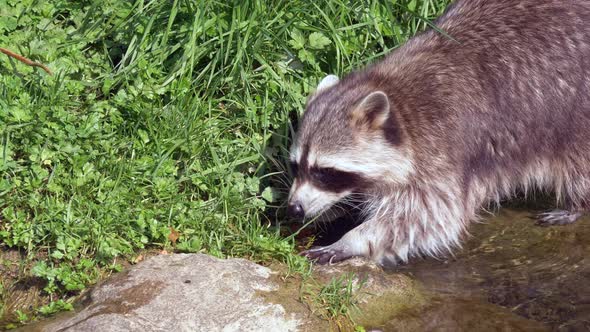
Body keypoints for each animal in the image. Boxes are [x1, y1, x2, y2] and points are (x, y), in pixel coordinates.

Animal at [290, 0, 590, 264]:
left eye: (324, 172)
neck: (395, 97)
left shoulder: (441, 150)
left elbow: (426, 218)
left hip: (576, 115)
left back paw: (576, 204)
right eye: (296, 166)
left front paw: (351, 240)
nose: (294, 207)